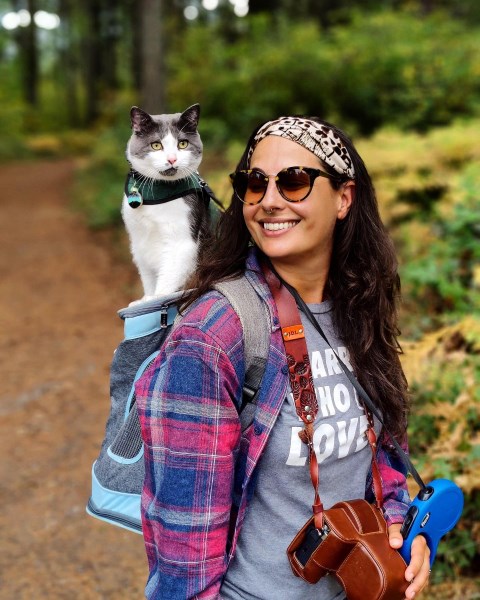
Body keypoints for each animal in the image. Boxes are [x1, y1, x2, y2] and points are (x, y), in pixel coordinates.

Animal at [122, 103, 216, 302]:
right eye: (156, 145)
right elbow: (148, 277)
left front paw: (155, 299)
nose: (172, 159)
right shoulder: (139, 243)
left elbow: (168, 279)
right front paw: (146, 298)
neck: (158, 193)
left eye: (183, 144)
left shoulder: (182, 242)